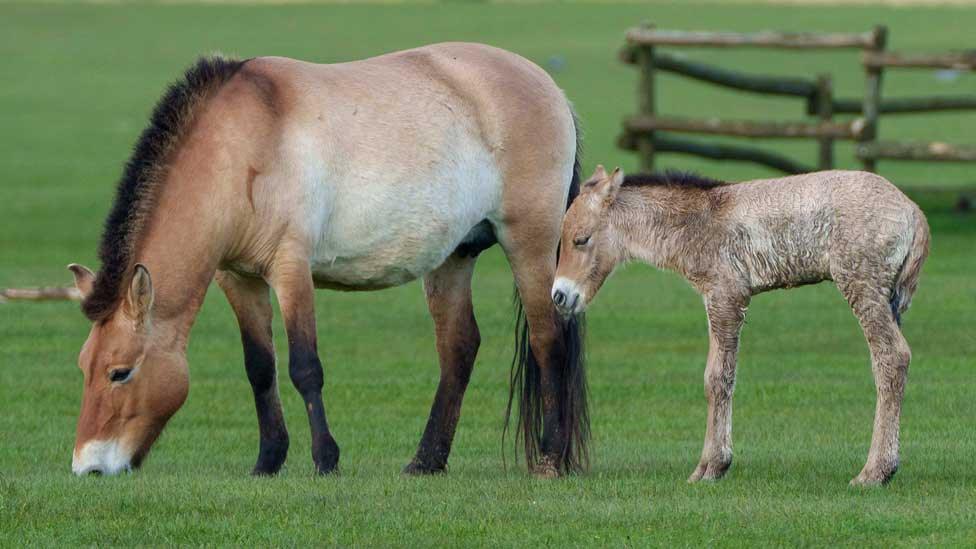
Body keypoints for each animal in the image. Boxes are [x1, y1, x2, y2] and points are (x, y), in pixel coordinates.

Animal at [68, 44, 592, 476]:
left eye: (120, 372)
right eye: (83, 367)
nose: (88, 467)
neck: (241, 146)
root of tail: (552, 89)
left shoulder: (290, 270)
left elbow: (305, 367)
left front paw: (325, 459)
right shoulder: (238, 279)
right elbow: (260, 367)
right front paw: (268, 459)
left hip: (529, 243)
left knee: (548, 339)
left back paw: (550, 457)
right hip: (454, 256)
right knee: (458, 347)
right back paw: (427, 460)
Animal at [552, 166, 928, 484]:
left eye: (581, 239)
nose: (559, 295)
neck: (699, 222)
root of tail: (915, 213)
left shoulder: (725, 296)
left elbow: (717, 378)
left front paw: (710, 468)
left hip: (862, 286)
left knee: (892, 358)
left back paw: (875, 472)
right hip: (887, 299)